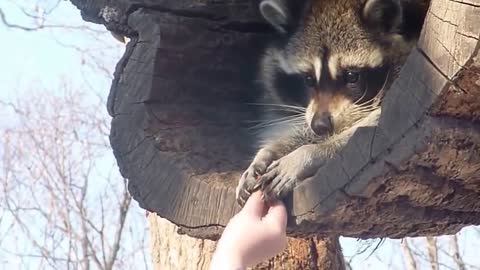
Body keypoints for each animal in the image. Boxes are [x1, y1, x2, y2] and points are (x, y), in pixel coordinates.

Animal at [236, 0, 432, 205]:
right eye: (308, 79)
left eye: (352, 76)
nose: (320, 125)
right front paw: (270, 151)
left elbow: (370, 127)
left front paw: (308, 153)